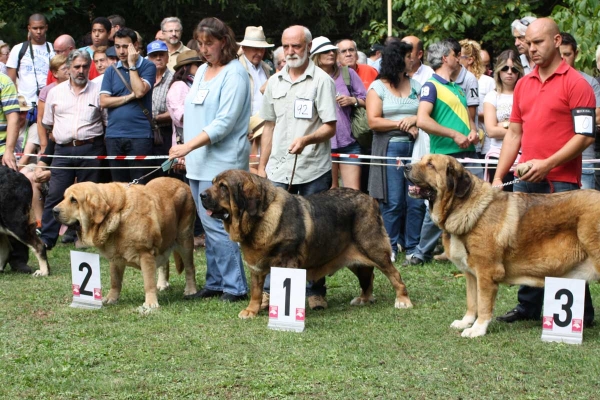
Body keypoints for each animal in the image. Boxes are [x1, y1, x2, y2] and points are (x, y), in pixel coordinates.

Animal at [53, 178, 198, 310]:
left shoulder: (146, 254)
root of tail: (182, 183)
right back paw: (162, 284)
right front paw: (111, 298)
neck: (116, 212)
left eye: (74, 200)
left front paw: (151, 303)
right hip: (164, 239)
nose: (54, 211)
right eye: (64, 198)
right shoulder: (115, 258)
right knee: (164, 263)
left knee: (190, 268)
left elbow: (148, 283)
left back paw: (191, 290)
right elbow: (115, 281)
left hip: (185, 240)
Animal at [200, 170, 412, 318]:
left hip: (373, 249)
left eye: (223, 187)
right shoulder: (257, 268)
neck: (260, 216)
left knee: (394, 275)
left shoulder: (287, 263)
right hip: (352, 257)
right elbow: (256, 292)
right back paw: (364, 298)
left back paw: (403, 300)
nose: (202, 195)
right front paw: (251, 311)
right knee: (368, 277)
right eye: (213, 184)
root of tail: (370, 199)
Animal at [406, 154, 600, 338]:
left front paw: (477, 329)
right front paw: (465, 322)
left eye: (430, 164)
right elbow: (472, 301)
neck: (461, 206)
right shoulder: (471, 274)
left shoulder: (486, 273)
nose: (406, 166)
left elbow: (483, 305)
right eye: (422, 160)